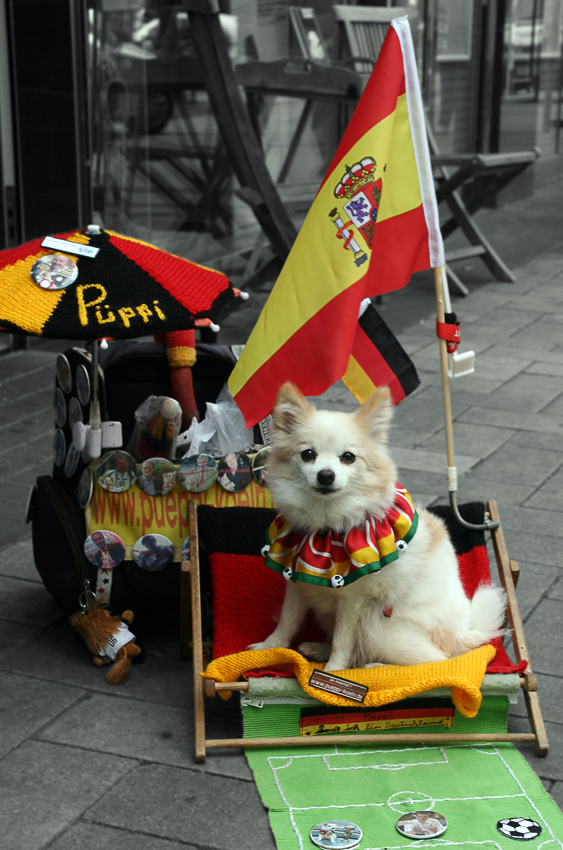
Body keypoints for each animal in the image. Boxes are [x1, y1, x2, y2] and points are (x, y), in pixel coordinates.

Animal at [251, 382, 506, 668]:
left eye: (348, 457)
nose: (326, 475)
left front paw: (333, 671)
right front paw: (268, 649)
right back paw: (319, 648)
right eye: (308, 455)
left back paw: (374, 667)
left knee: (434, 661)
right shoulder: (296, 577)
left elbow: (343, 641)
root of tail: (463, 635)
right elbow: (287, 621)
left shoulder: (352, 599)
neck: (326, 526)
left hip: (380, 626)